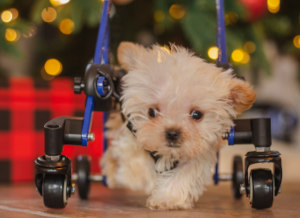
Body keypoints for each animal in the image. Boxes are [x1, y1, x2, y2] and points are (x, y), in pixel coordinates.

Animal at [101, 41, 255, 210]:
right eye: (151, 112)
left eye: (197, 114)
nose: (172, 133)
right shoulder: (130, 133)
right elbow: (134, 157)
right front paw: (141, 178)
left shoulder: (200, 151)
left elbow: (184, 175)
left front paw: (167, 198)